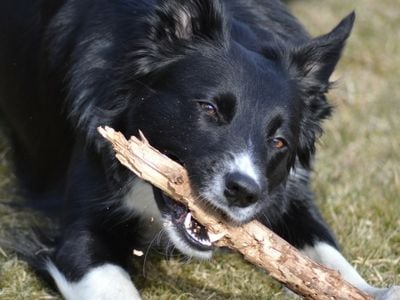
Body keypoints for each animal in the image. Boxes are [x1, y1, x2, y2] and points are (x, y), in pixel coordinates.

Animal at [0, 0, 400, 300]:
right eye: (209, 109)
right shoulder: (81, 234)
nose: (242, 192)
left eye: (279, 141)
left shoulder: (289, 198)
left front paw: (373, 290)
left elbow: (327, 259)